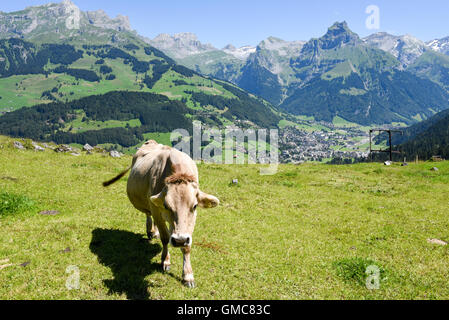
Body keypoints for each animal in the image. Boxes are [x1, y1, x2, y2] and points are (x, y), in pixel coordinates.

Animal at [103, 140, 219, 288]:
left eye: (194, 206)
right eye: (166, 205)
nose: (179, 240)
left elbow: (186, 246)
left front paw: (188, 275)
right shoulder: (156, 209)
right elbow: (165, 237)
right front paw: (165, 260)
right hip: (149, 204)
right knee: (148, 215)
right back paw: (150, 231)